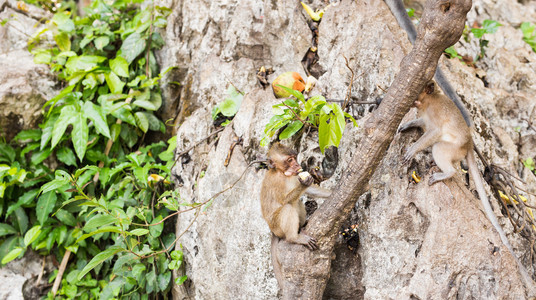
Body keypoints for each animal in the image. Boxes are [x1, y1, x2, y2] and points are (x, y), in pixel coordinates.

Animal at [398, 81, 536, 290]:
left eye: (417, 94)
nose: (411, 101)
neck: (428, 101)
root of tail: (470, 143)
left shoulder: (434, 112)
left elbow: (433, 131)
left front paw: (413, 149)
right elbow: (422, 123)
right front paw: (408, 124)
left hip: (453, 148)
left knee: (439, 148)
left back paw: (447, 172)